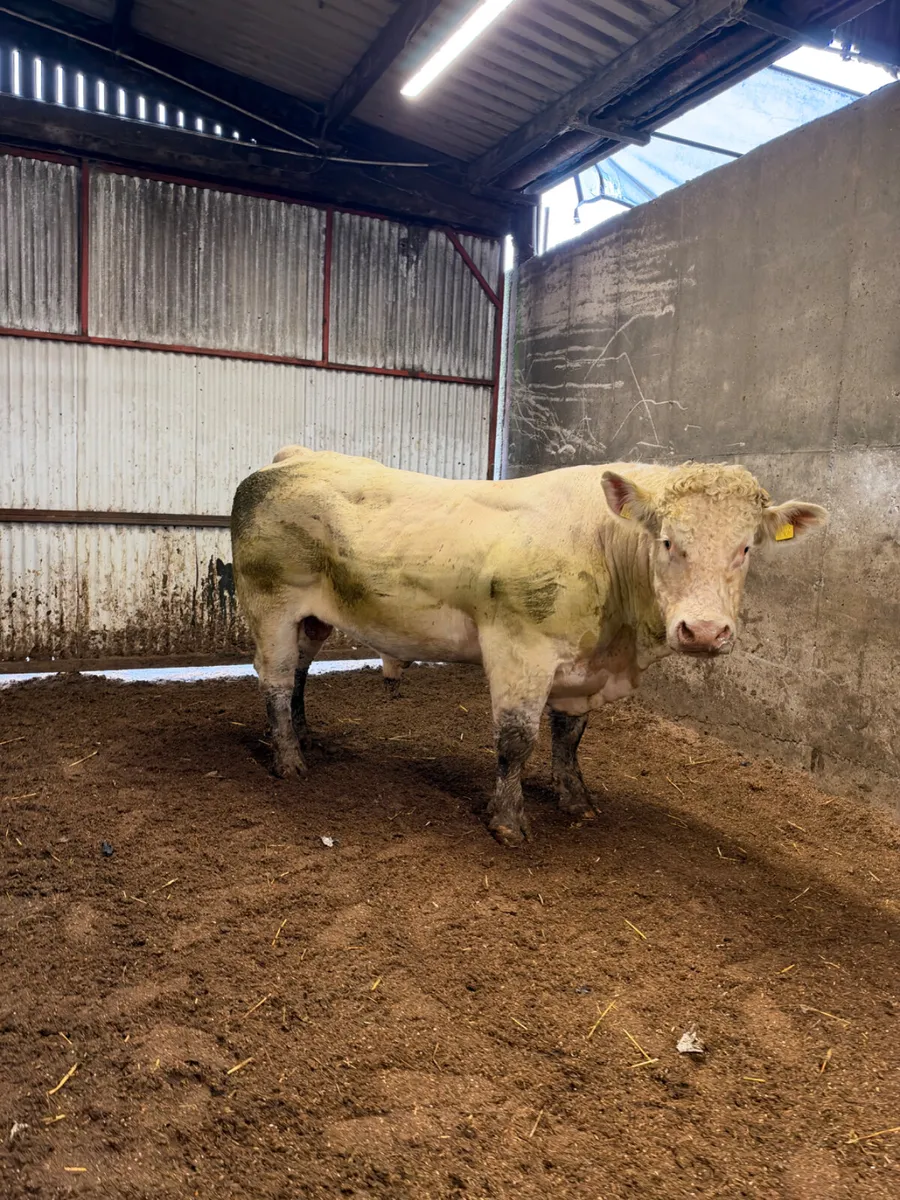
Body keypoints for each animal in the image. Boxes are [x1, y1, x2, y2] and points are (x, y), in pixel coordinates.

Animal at [231, 448, 826, 846]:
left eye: (746, 548)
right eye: (667, 541)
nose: (703, 631)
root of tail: (294, 457)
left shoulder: (582, 669)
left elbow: (569, 737)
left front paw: (576, 799)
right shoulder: (520, 649)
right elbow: (517, 741)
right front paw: (508, 820)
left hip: (312, 616)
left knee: (300, 670)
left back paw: (306, 734)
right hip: (270, 602)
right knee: (275, 677)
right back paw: (288, 758)